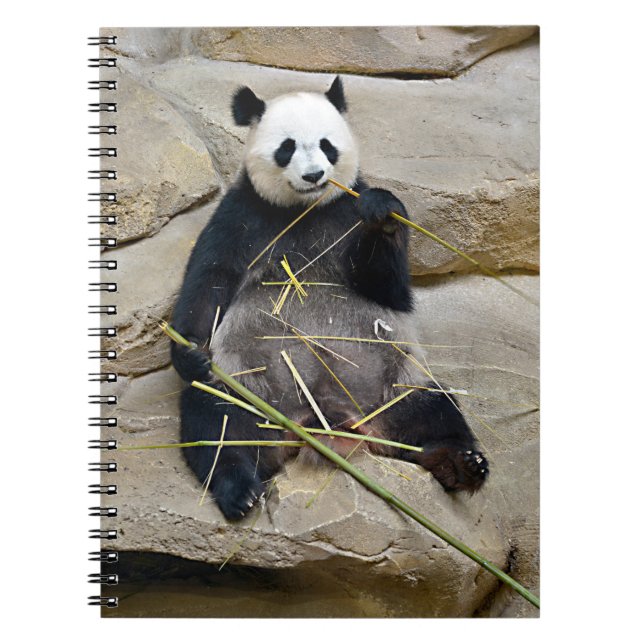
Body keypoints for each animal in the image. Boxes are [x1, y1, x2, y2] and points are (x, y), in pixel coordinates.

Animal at [170, 76, 488, 520]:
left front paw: (382, 214)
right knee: (216, 424)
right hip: (249, 391)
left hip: (393, 388)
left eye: (327, 145)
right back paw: (239, 490)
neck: (305, 210)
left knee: (435, 411)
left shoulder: (346, 211)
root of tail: (325, 423)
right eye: (286, 147)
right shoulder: (242, 216)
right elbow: (209, 281)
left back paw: (462, 465)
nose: (315, 175)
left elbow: (390, 289)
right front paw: (189, 352)